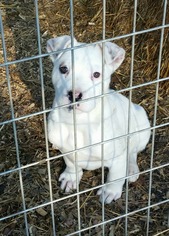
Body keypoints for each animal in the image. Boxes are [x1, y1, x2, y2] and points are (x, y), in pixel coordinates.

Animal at [46, 36, 151, 204]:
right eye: (63, 69)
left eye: (96, 74)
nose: (74, 95)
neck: (79, 123)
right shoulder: (67, 151)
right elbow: (71, 164)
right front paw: (71, 177)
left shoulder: (117, 156)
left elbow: (115, 175)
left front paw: (110, 191)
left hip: (141, 125)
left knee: (133, 151)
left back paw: (131, 169)